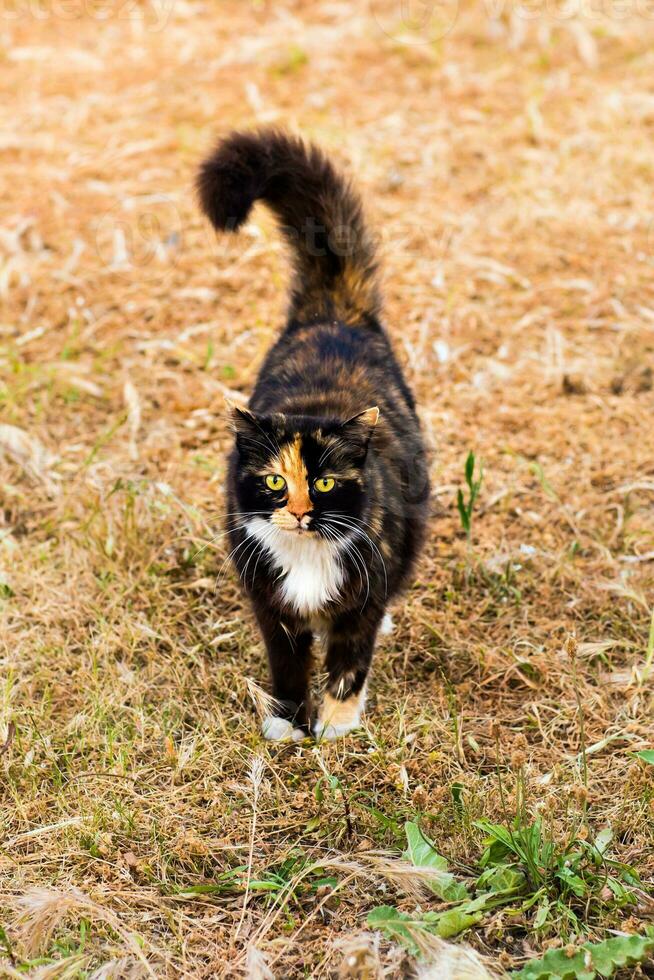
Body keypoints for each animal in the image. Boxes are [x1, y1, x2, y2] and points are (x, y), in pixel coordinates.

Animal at [197, 132, 434, 744]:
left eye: (325, 483)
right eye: (276, 482)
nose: (302, 511)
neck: (306, 559)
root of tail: (333, 314)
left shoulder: (361, 596)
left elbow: (349, 661)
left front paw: (336, 726)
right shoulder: (269, 599)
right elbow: (287, 662)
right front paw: (287, 722)